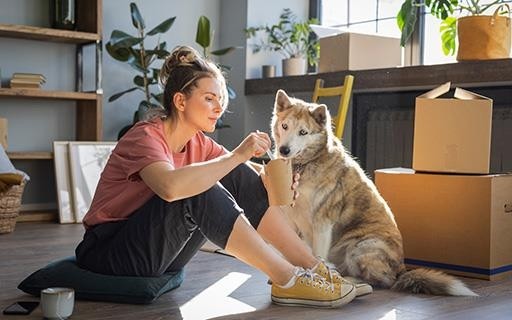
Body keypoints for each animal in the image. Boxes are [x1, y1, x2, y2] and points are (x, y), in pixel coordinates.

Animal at [272, 89, 476, 296]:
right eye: (285, 126)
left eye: (303, 132)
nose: (284, 150)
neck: (304, 165)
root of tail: (402, 269)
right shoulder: (291, 219)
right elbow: (294, 250)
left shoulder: (322, 222)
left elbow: (317, 255)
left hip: (360, 247)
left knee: (381, 281)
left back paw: (350, 280)